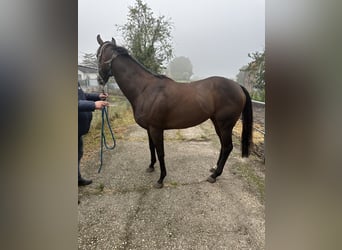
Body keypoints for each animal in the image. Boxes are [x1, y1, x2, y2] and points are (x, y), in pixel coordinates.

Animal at [96, 35, 254, 188]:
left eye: (98, 55)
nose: (99, 80)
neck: (145, 89)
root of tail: (238, 86)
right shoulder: (149, 128)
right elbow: (151, 147)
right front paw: (151, 166)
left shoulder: (156, 129)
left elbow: (160, 152)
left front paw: (161, 179)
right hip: (217, 123)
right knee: (223, 146)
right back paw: (214, 169)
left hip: (225, 125)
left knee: (227, 147)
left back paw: (214, 176)